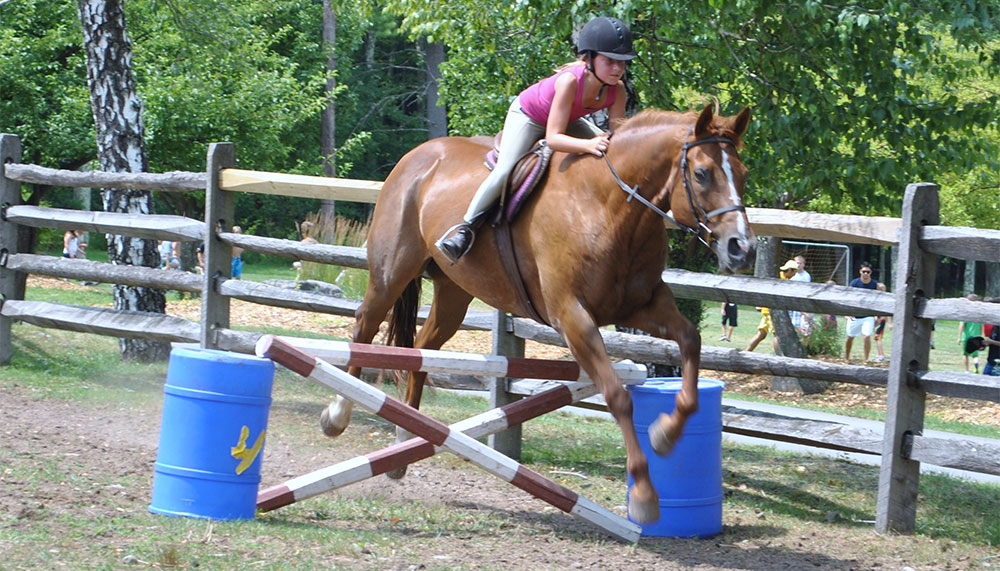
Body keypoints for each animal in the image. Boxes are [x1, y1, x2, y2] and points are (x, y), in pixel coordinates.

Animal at [320, 103, 752, 524]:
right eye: (702, 173)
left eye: (743, 173)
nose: (741, 249)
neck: (608, 207)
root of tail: (415, 156)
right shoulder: (572, 317)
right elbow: (617, 395)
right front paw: (645, 496)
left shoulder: (643, 306)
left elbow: (690, 341)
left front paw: (665, 434)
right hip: (390, 272)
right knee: (365, 327)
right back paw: (338, 415)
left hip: (454, 293)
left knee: (421, 352)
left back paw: (405, 446)